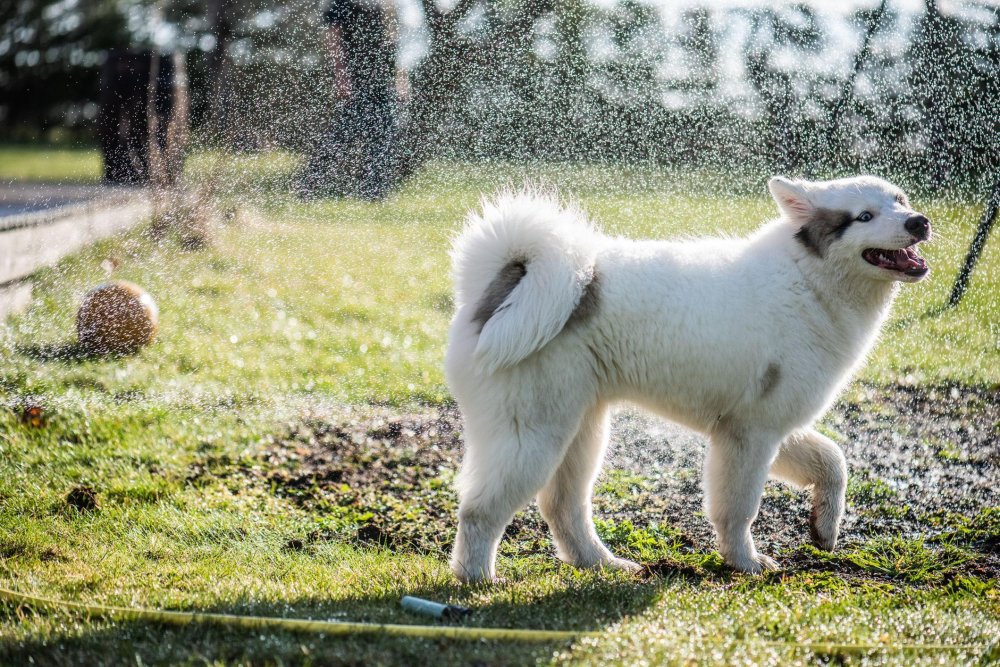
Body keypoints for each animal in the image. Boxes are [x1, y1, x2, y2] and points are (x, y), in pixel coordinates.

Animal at [446, 175, 928, 580]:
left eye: (901, 201)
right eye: (864, 216)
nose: (919, 221)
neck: (807, 278)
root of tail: (505, 282)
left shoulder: (771, 425)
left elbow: (834, 462)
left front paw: (823, 527)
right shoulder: (749, 436)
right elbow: (738, 511)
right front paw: (746, 563)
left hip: (580, 431)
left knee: (563, 508)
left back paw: (601, 564)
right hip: (533, 436)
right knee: (480, 511)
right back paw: (478, 579)